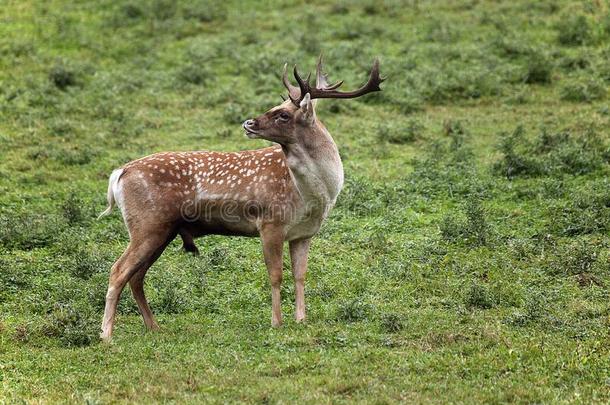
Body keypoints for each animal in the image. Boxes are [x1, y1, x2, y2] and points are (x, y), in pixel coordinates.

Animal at [97, 56, 382, 340]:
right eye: (275, 107)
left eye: (283, 114)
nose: (248, 123)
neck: (312, 196)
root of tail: (119, 174)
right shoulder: (270, 223)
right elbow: (276, 275)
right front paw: (276, 322)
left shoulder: (303, 234)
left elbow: (300, 275)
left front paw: (301, 319)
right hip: (147, 224)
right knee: (118, 271)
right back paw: (106, 335)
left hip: (162, 230)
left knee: (136, 276)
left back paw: (154, 327)